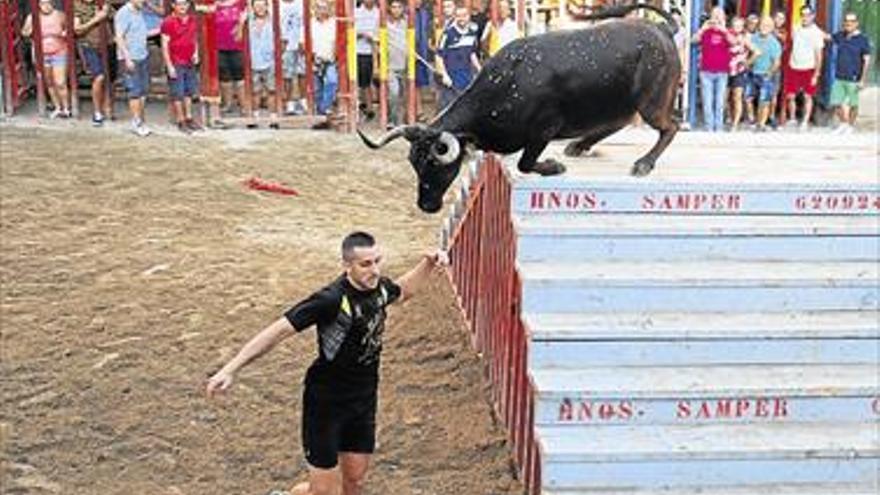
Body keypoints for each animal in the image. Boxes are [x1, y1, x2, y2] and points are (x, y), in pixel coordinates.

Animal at [358, 3, 680, 213]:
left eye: (436, 165)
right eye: (415, 163)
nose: (426, 205)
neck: (508, 83)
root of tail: (661, 28)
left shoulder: (543, 130)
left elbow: (526, 163)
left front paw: (553, 167)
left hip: (652, 102)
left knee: (670, 126)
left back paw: (644, 163)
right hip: (620, 103)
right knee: (617, 123)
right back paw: (579, 145)